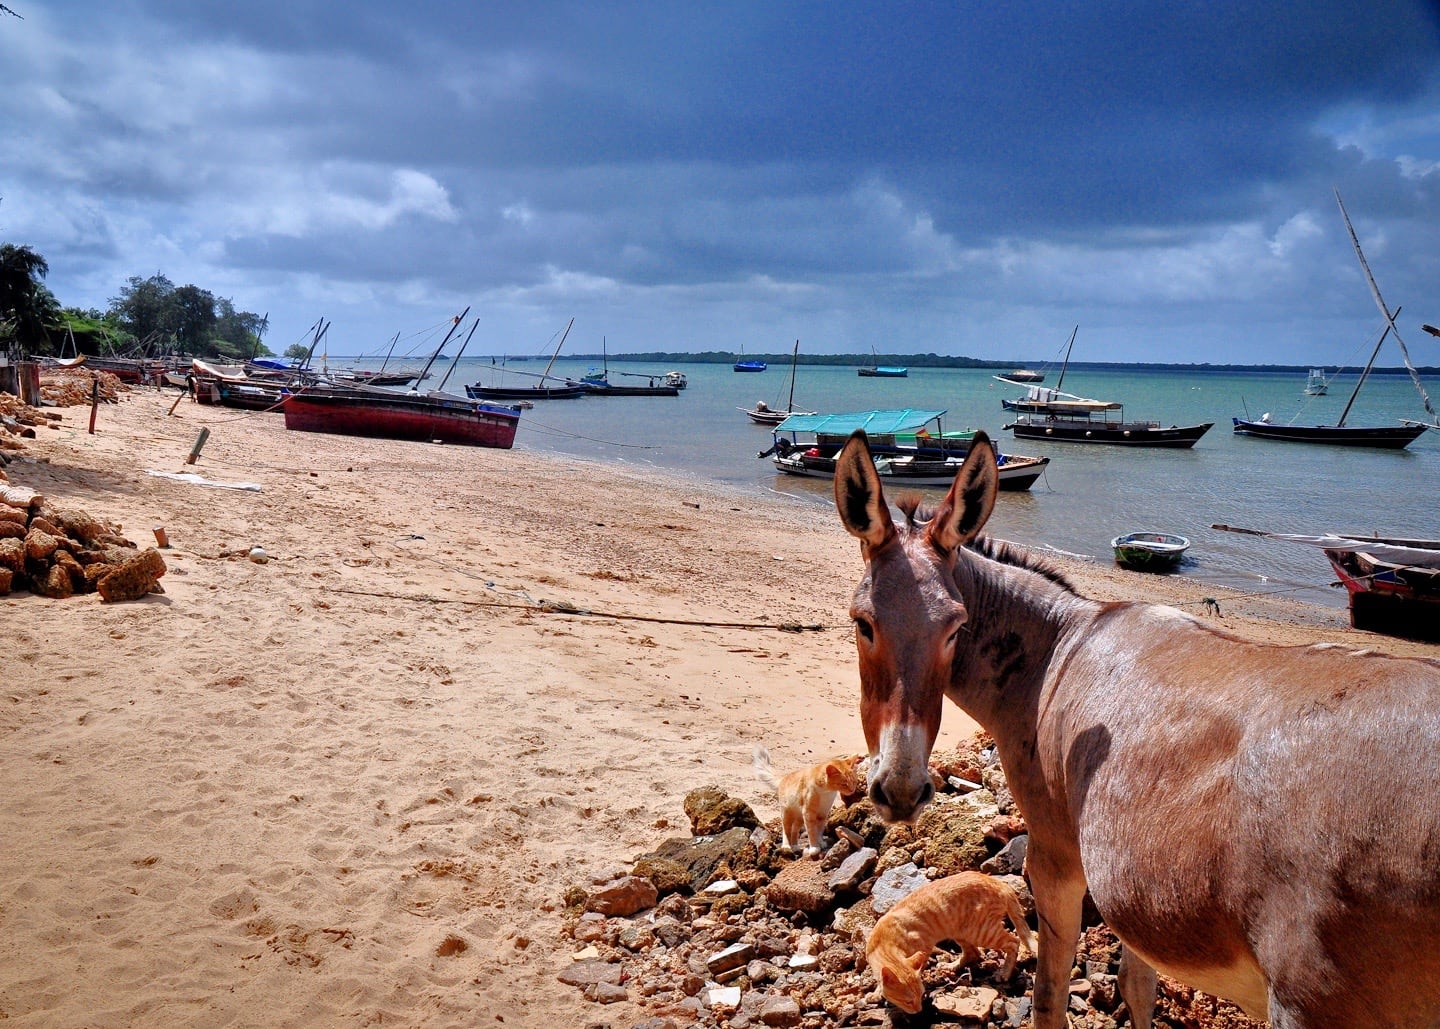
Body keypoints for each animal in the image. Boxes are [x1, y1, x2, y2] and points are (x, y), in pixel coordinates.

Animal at [864, 869, 1036, 1013]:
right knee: (973, 953)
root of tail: (999, 882)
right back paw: (951, 966)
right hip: (961, 931)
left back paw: (1004, 973)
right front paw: (876, 993)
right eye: (908, 1002)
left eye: (921, 995)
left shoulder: (925, 944)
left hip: (981, 932)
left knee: (1013, 942)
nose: (919, 1010)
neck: (883, 942)